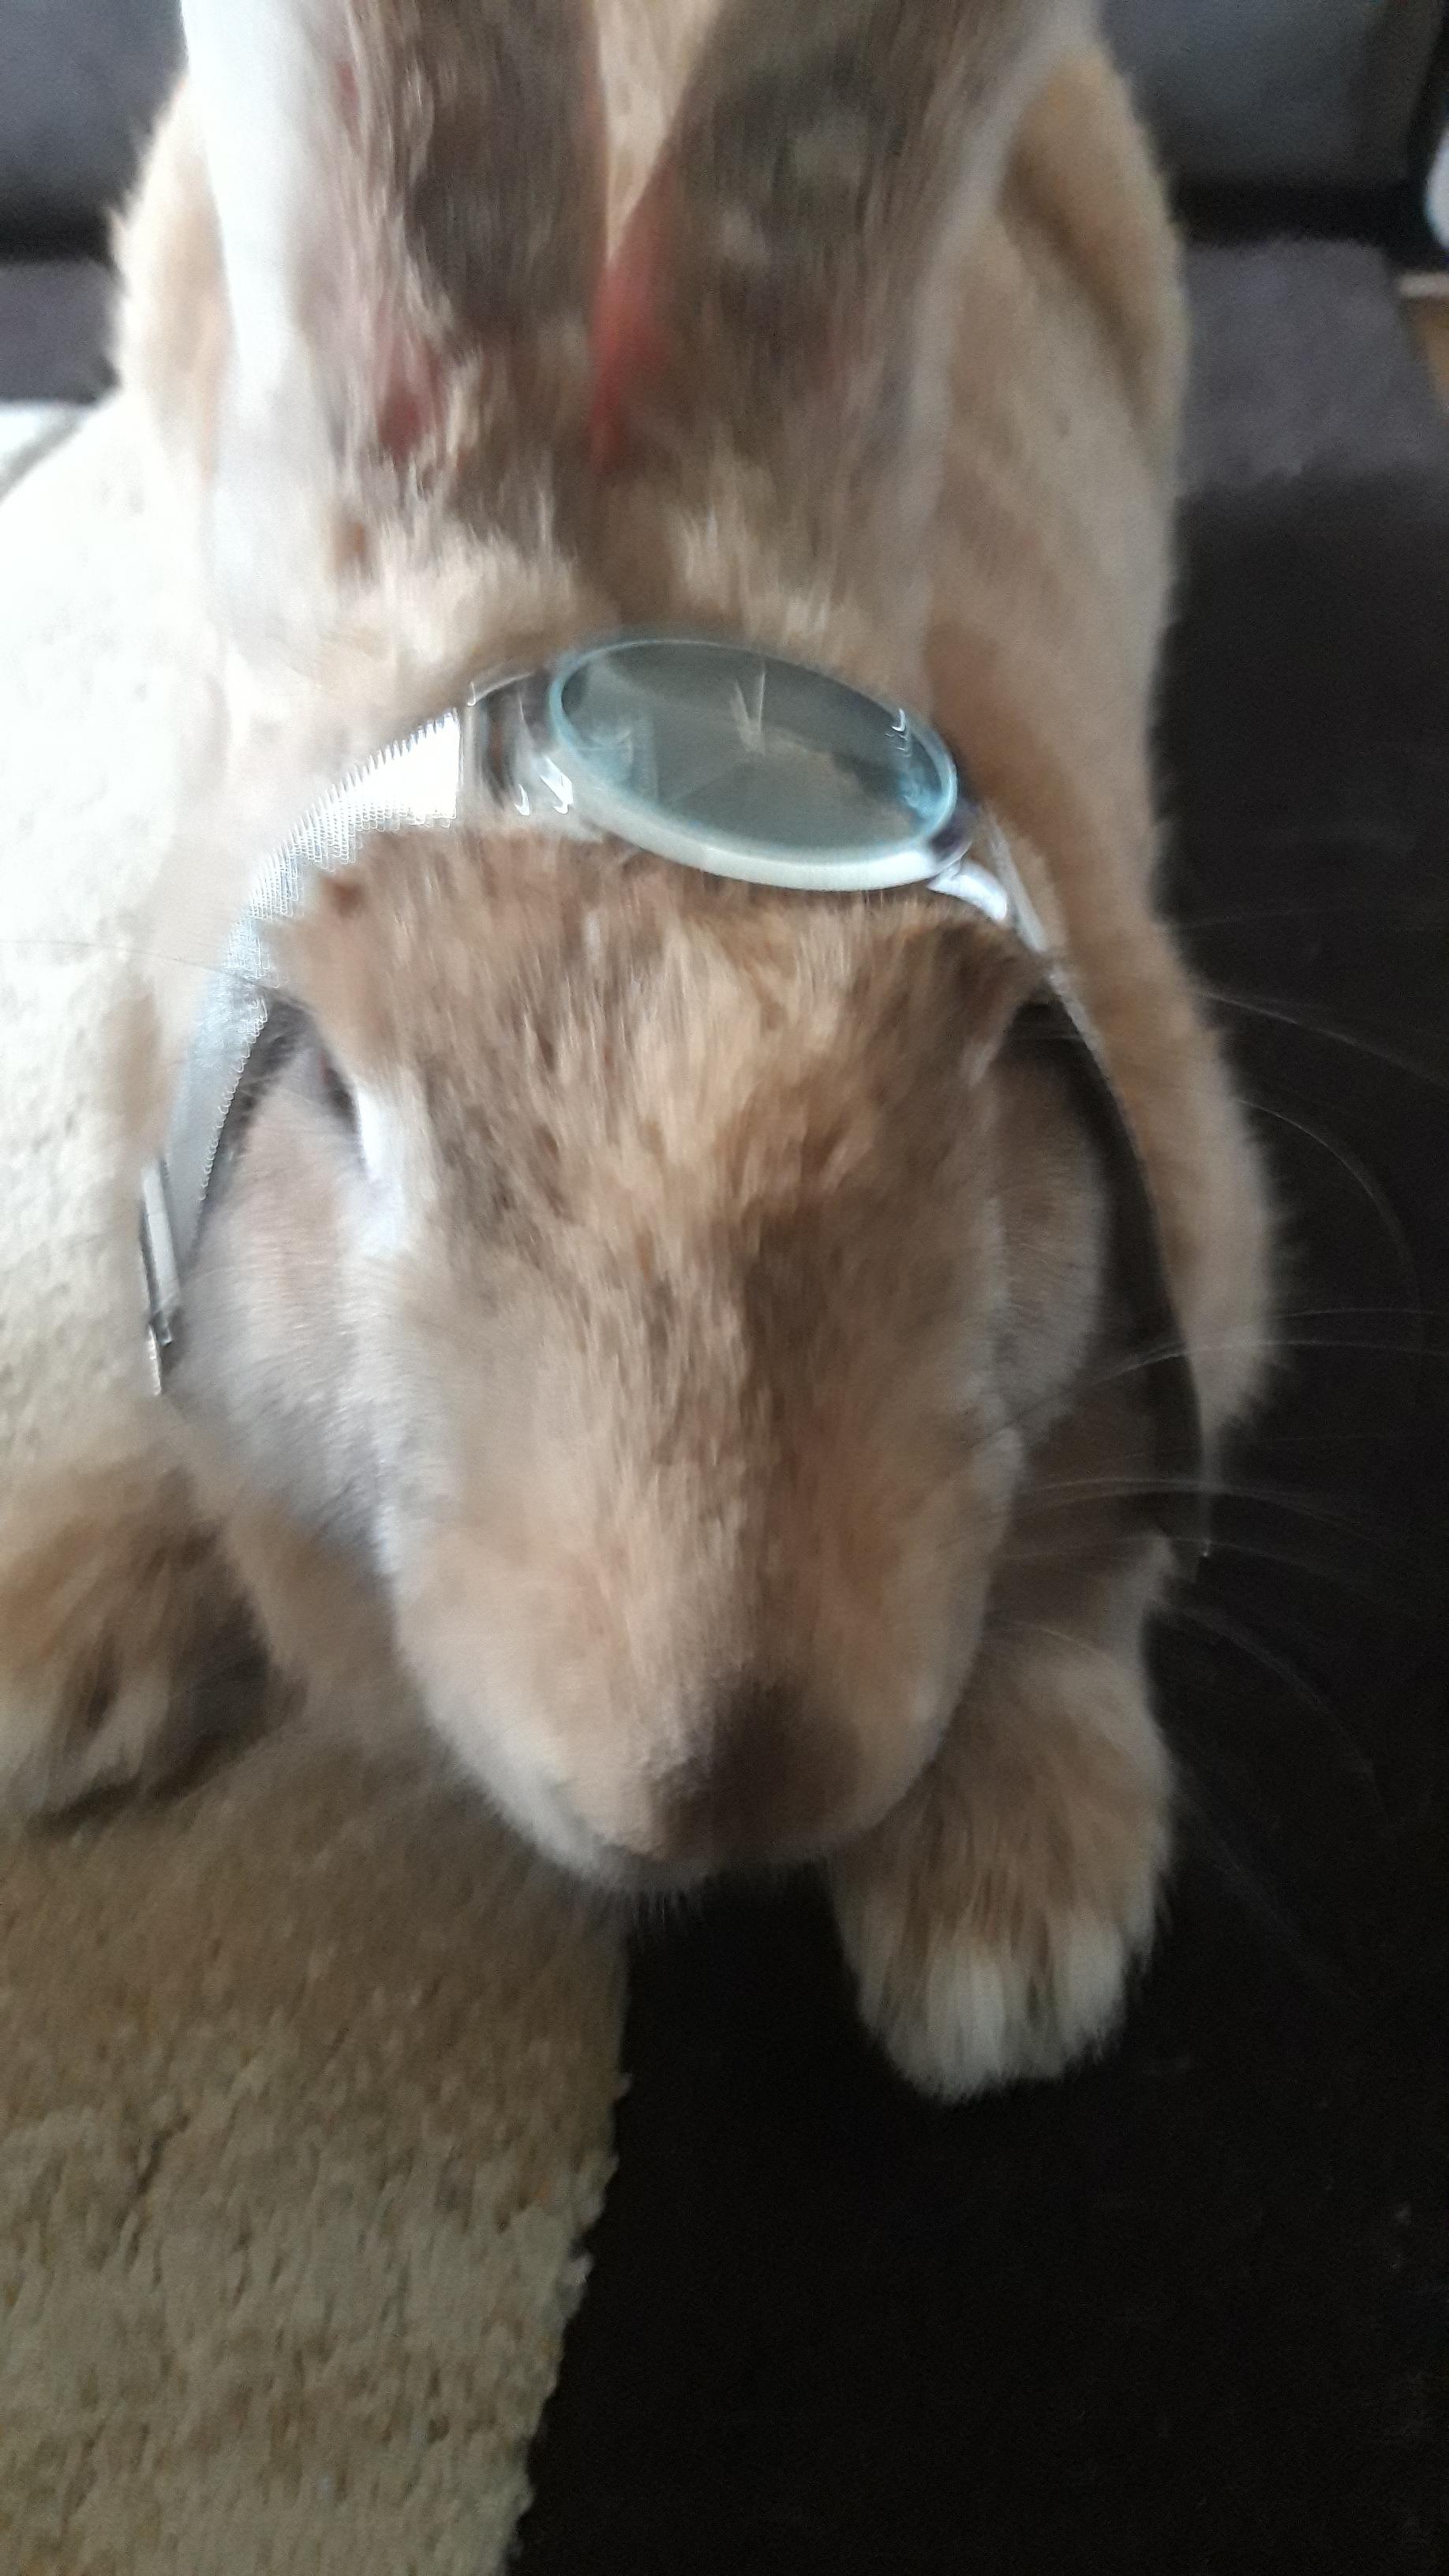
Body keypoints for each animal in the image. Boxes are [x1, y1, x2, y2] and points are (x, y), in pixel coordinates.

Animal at [0, 0, 1269, 2099]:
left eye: (978, 1058)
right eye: (336, 1098)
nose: (728, 1781)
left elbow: (1086, 1575)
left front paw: (1007, 1944)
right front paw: (56, 1649)